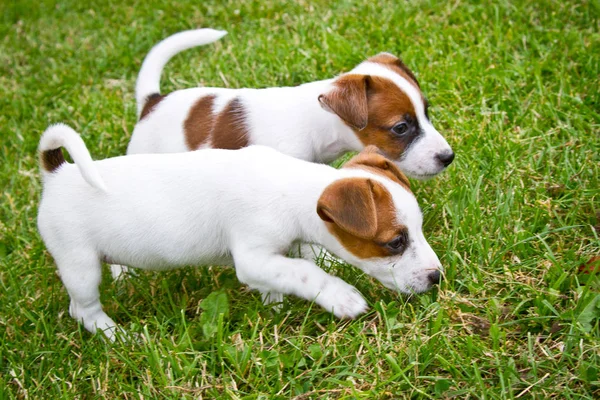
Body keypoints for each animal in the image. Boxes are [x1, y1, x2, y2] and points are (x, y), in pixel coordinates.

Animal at [36, 123, 440, 340]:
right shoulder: (252, 256)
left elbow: (284, 277)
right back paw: (119, 336)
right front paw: (341, 296)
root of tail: (57, 172)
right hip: (80, 265)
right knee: (83, 310)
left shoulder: (271, 259)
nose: (437, 276)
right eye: (395, 242)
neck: (292, 187)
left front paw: (275, 309)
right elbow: (305, 271)